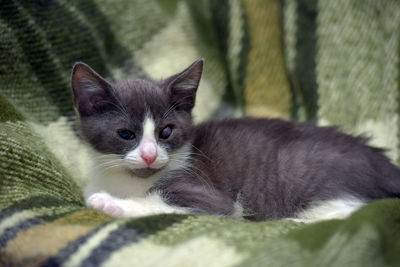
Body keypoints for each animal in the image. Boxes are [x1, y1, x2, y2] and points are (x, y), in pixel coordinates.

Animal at [71, 59, 400, 223]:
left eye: (166, 131)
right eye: (126, 134)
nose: (150, 155)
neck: (128, 180)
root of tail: (382, 162)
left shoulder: (210, 197)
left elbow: (160, 203)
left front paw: (109, 203)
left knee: (358, 207)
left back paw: (295, 221)